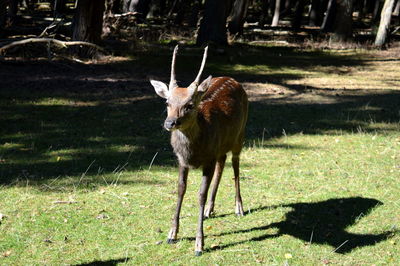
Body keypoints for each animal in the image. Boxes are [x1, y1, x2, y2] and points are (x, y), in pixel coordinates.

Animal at [150, 45, 248, 256]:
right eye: (167, 102)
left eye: (189, 105)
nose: (169, 123)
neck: (193, 152)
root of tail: (233, 79)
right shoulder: (181, 160)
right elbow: (181, 189)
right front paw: (171, 234)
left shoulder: (208, 159)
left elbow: (200, 194)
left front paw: (199, 244)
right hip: (221, 147)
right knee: (222, 163)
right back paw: (209, 210)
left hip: (240, 135)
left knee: (235, 166)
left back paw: (239, 207)